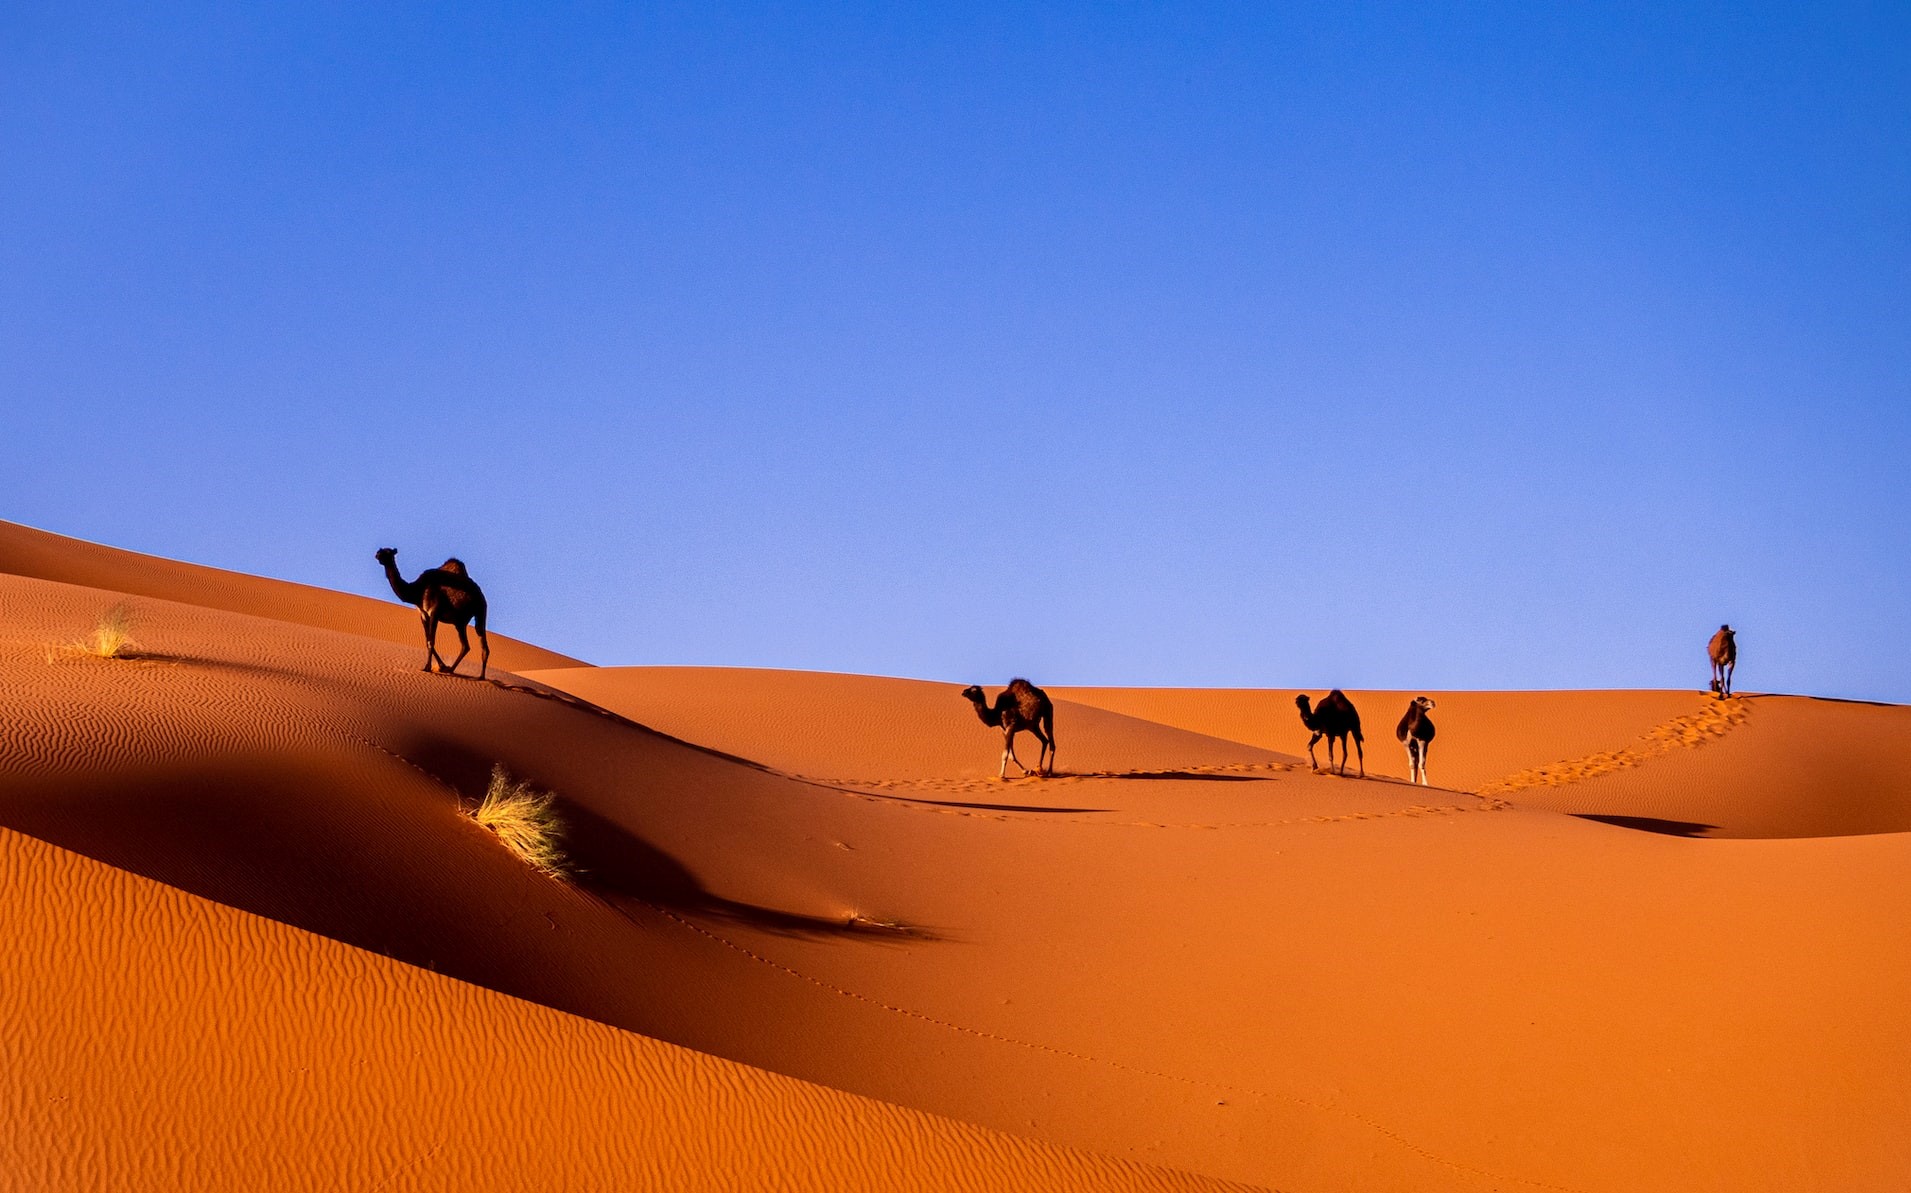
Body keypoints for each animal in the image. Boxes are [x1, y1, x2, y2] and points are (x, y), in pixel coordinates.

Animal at [374, 550, 489, 680]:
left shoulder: (434, 612)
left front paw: (427, 668)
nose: (377, 555)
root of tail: (482, 596)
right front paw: (441, 666)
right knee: (466, 646)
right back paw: (451, 669)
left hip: (480, 612)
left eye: (387, 552)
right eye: (380, 550)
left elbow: (431, 641)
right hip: (460, 622)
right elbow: (427, 640)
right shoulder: (423, 614)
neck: (417, 591)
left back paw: (479, 676)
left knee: (480, 641)